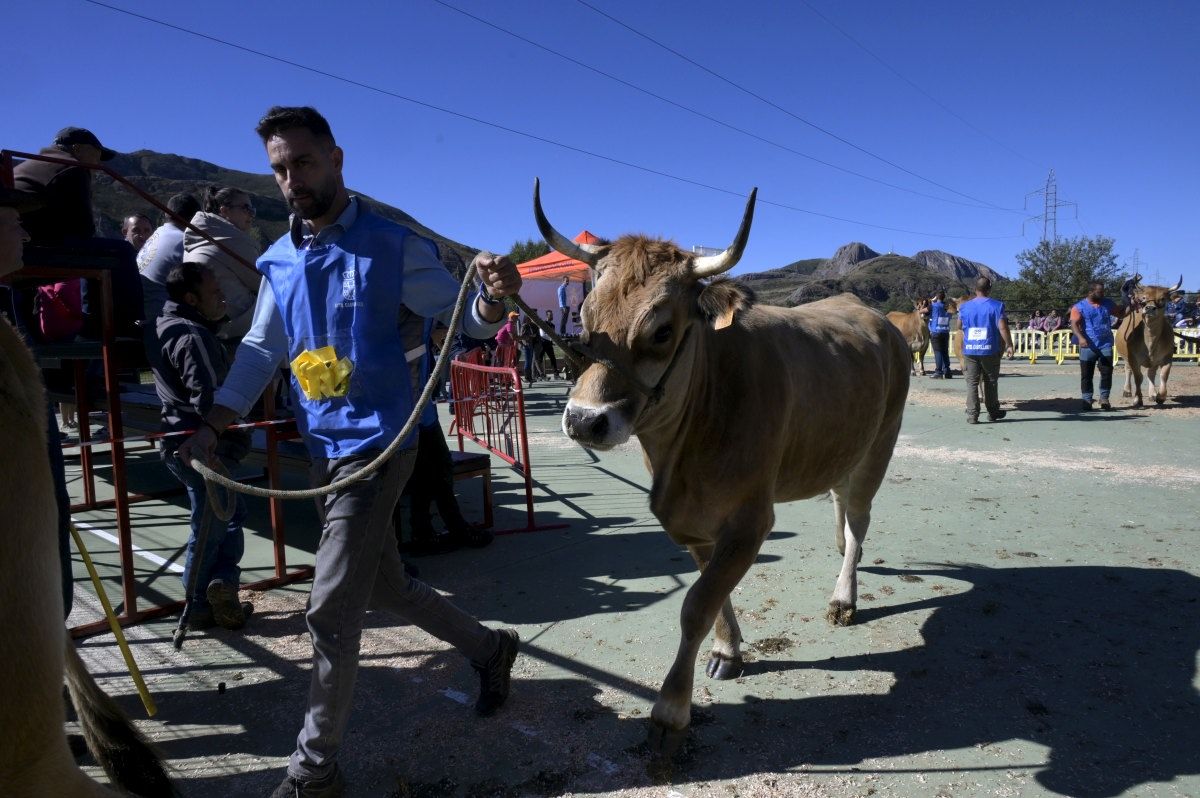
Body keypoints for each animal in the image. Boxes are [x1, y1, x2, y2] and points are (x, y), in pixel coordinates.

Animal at [535, 180, 907, 753]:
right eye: (585, 322)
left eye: (662, 331)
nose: (583, 420)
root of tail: (870, 314)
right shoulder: (690, 524)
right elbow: (713, 593)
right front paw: (728, 650)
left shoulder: (751, 521)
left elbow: (696, 604)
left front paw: (671, 708)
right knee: (842, 509)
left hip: (880, 445)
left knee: (860, 521)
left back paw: (844, 598)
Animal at [1118, 277, 1185, 408]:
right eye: (1144, 297)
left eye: (1162, 298)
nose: (1149, 308)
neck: (1150, 341)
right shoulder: (1133, 358)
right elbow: (1138, 377)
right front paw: (1137, 399)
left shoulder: (1167, 357)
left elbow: (1163, 375)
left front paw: (1160, 396)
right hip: (1126, 357)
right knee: (1128, 370)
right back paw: (1127, 391)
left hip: (1153, 361)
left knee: (1151, 373)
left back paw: (1152, 394)